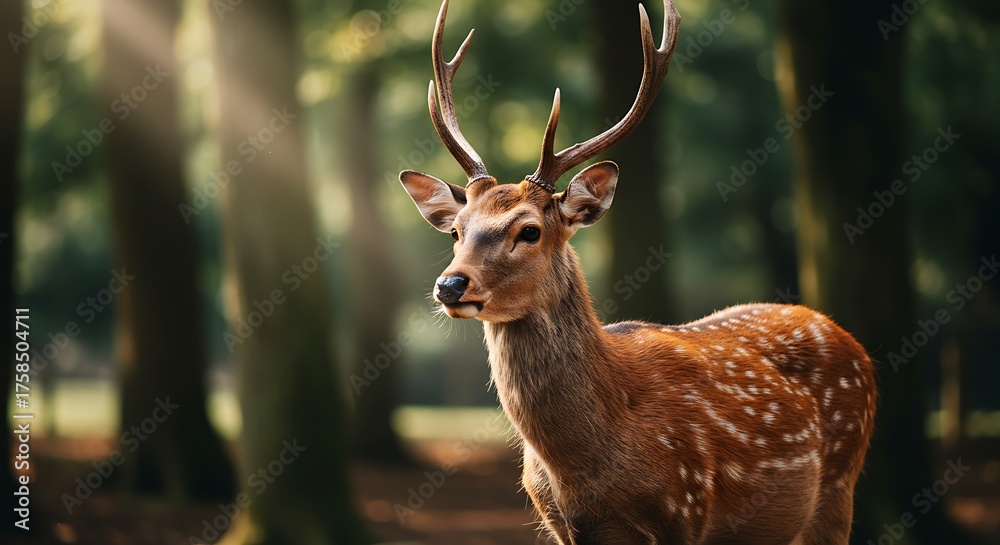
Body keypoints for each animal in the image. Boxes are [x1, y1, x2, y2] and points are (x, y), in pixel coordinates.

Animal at [398, 1, 877, 543]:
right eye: (456, 230)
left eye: (529, 231)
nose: (450, 284)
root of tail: (852, 343)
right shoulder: (558, 523)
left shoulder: (685, 510)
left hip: (837, 491)